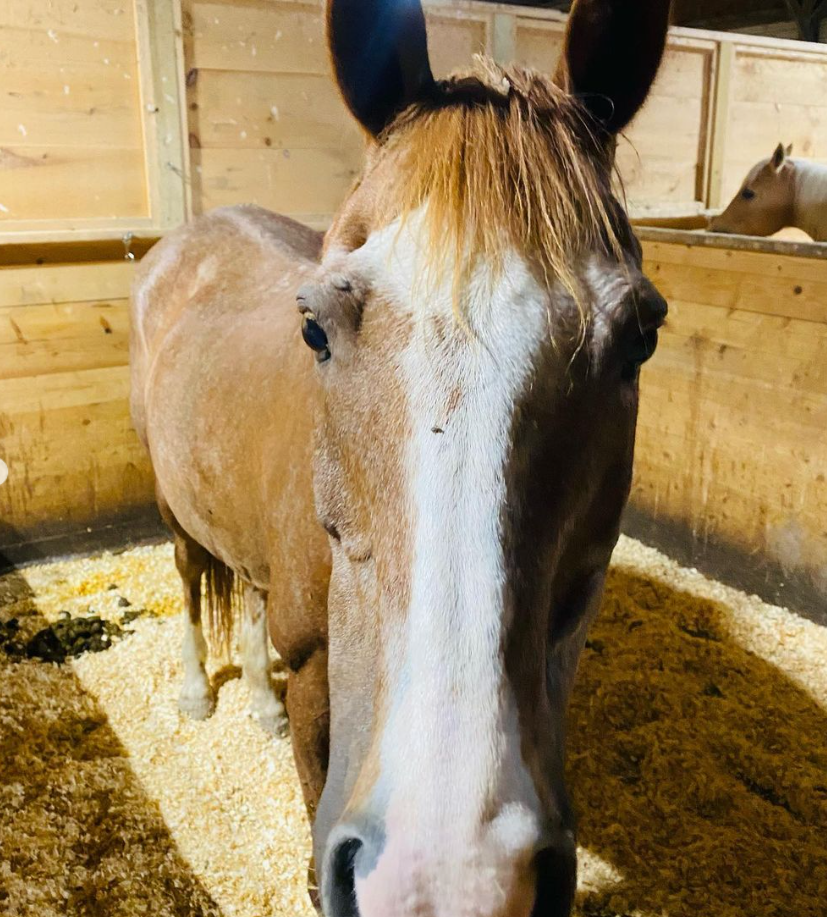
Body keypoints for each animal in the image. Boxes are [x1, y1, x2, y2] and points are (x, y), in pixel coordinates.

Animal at [129, 0, 670, 913]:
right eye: (314, 328)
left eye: (641, 338)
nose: (449, 876)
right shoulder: (319, 682)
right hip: (175, 512)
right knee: (190, 575)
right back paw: (198, 688)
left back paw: (257, 699)